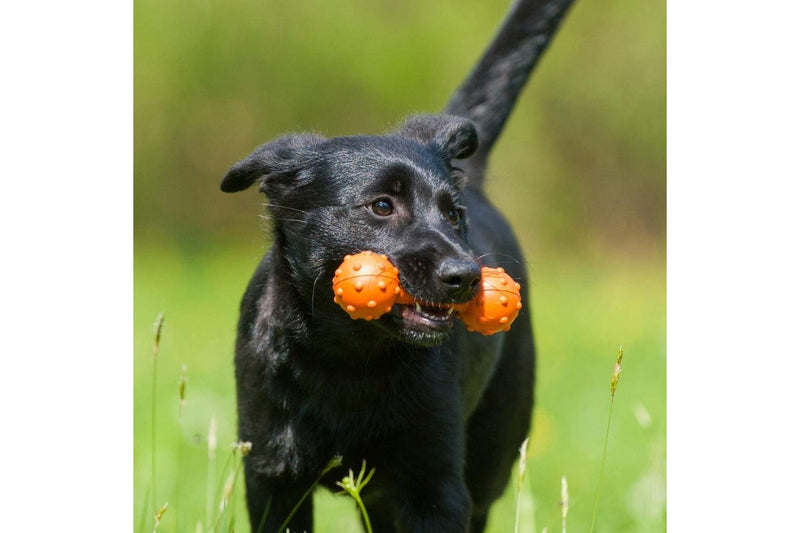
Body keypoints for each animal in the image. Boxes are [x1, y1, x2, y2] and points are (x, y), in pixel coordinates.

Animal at [222, 2, 576, 528]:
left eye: (454, 215)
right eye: (382, 206)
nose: (465, 277)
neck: (348, 357)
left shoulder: (434, 487)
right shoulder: (273, 477)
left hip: (490, 453)